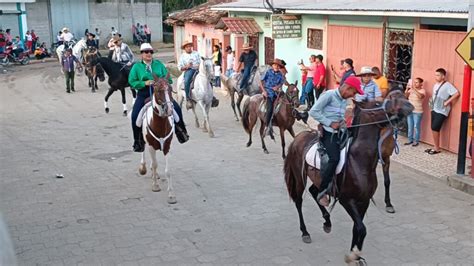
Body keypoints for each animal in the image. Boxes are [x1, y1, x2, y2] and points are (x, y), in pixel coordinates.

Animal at [137, 72, 178, 204]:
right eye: (159, 90)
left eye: (170, 89)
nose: (169, 109)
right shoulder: (150, 145)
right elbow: (155, 165)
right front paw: (155, 186)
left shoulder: (167, 146)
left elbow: (167, 170)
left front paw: (171, 195)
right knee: (143, 150)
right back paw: (143, 167)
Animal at [284, 95, 412, 264]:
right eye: (377, 103)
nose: (407, 107)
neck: (359, 161)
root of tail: (298, 137)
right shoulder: (347, 200)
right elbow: (362, 228)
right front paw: (353, 255)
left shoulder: (363, 201)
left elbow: (357, 228)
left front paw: (356, 254)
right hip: (299, 178)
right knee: (299, 201)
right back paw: (305, 232)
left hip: (319, 180)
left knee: (315, 192)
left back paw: (327, 222)